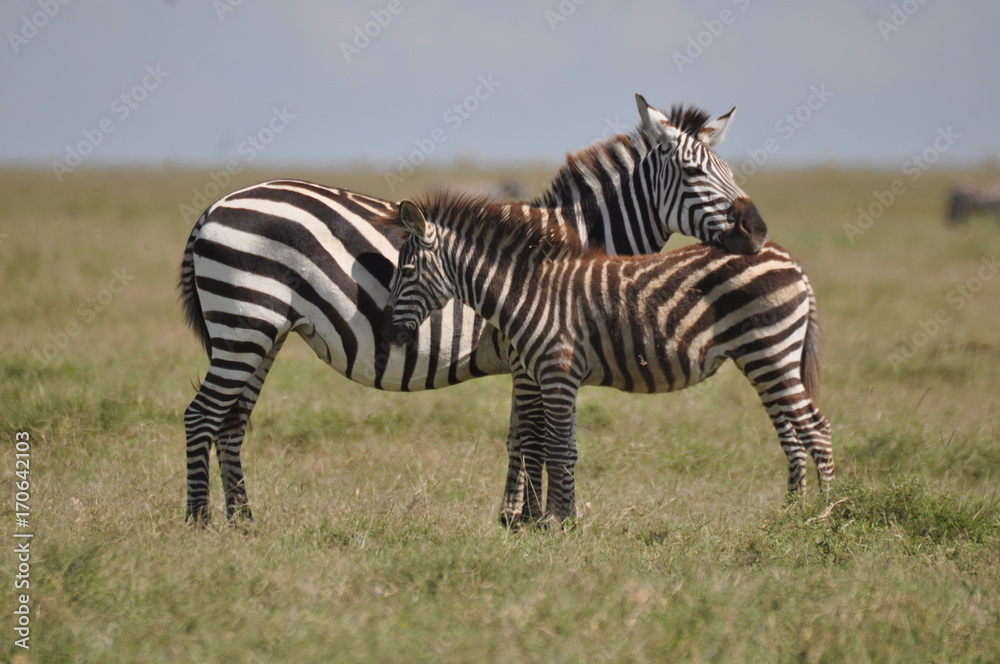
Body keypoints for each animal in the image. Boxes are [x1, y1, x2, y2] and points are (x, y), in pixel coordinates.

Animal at [180, 93, 768, 524]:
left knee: (232, 421)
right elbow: (533, 435)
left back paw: (243, 521)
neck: (573, 244)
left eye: (728, 169)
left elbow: (523, 434)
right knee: (201, 415)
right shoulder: (533, 356)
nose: (758, 229)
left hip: (262, 333)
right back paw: (201, 523)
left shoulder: (532, 356)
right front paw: (528, 520)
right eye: (693, 174)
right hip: (245, 323)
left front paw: (518, 518)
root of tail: (215, 205)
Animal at [384, 195, 831, 527]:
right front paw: (561, 520)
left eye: (406, 270)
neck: (528, 291)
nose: (388, 330)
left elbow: (556, 447)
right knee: (792, 433)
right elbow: (562, 447)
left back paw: (825, 516)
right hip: (763, 357)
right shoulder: (552, 375)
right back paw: (791, 514)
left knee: (816, 428)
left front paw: (556, 524)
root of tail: (790, 260)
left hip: (771, 349)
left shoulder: (557, 371)